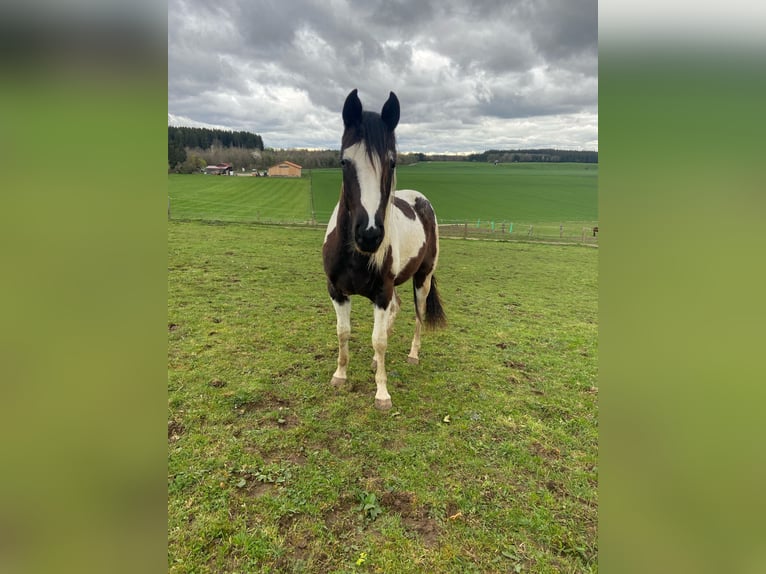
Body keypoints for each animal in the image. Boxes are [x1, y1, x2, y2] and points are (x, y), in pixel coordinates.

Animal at [320, 90, 448, 412]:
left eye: (391, 163)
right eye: (344, 161)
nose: (369, 235)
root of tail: (421, 200)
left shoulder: (381, 292)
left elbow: (378, 340)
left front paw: (382, 393)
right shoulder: (337, 292)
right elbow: (343, 332)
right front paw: (340, 375)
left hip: (422, 278)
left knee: (417, 314)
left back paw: (412, 355)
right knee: (397, 309)